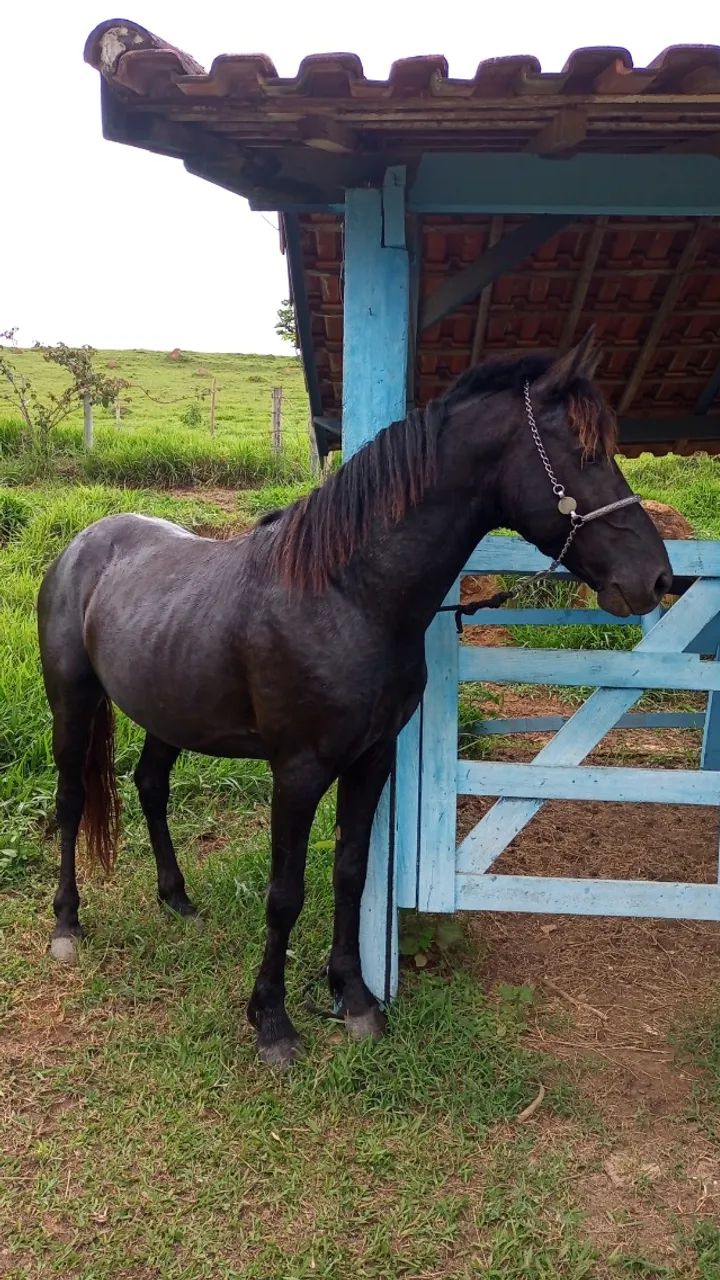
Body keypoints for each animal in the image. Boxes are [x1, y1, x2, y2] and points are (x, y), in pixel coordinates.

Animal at [37, 333, 672, 1066]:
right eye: (586, 453)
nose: (656, 578)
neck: (348, 594)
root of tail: (83, 544)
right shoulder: (298, 771)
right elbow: (286, 893)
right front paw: (272, 1020)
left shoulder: (373, 759)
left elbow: (351, 871)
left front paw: (356, 998)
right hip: (73, 704)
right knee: (72, 799)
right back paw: (67, 924)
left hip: (167, 708)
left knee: (149, 785)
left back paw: (177, 899)